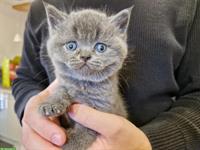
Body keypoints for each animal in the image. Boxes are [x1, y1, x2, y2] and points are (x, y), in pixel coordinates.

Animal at [39, 1, 133, 150]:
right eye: (71, 45)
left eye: (101, 47)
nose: (85, 56)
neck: (83, 85)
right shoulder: (65, 84)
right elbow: (61, 90)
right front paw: (51, 103)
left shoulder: (102, 107)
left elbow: (87, 128)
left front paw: (72, 142)